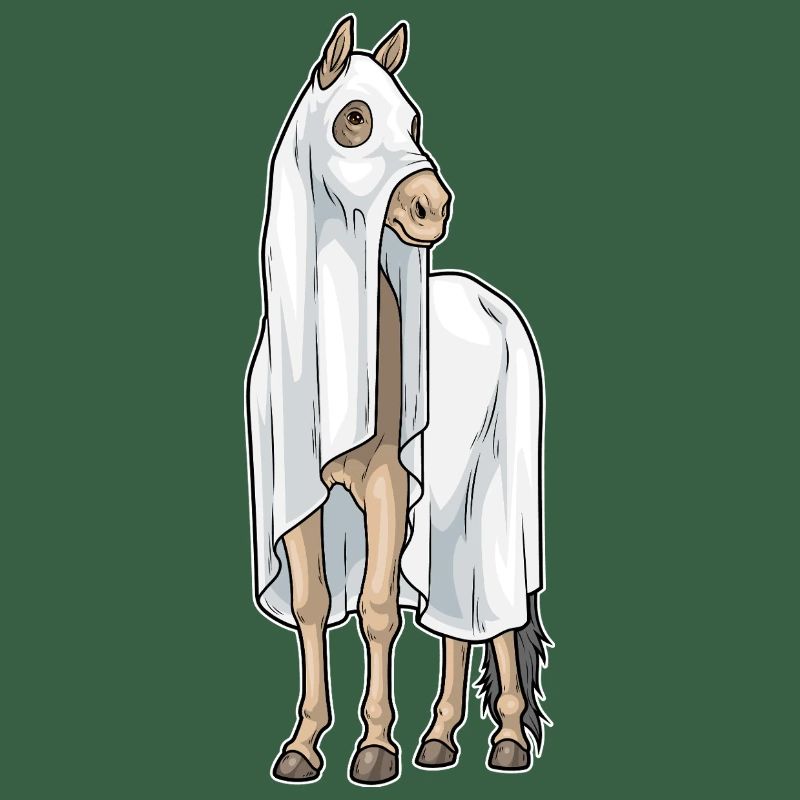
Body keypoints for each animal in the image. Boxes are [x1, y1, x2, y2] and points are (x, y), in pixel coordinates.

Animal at [245, 16, 550, 785]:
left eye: (413, 122)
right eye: (355, 118)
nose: (431, 208)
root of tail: (494, 305)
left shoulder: (387, 480)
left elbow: (379, 608)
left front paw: (375, 750)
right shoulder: (302, 494)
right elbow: (314, 604)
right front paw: (303, 746)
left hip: (491, 504)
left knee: (498, 614)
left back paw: (506, 742)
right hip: (446, 515)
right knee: (454, 617)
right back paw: (439, 740)